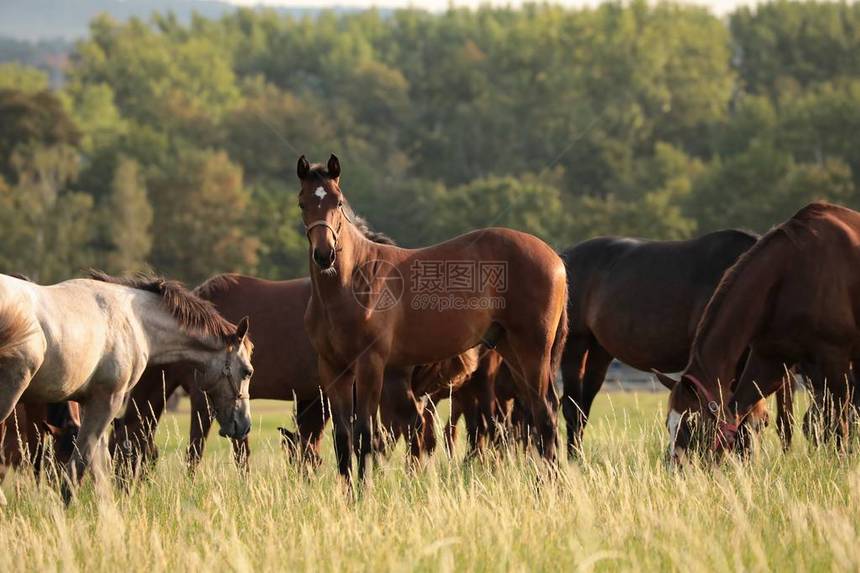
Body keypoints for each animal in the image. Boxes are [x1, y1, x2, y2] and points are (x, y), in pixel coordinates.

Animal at [0, 272, 254, 500]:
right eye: (247, 371)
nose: (244, 425)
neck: (135, 320)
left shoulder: (88, 404)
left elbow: (97, 468)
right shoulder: (107, 401)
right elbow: (77, 466)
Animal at [298, 154, 572, 480]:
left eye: (338, 202)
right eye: (302, 203)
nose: (324, 255)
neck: (355, 279)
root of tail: (554, 259)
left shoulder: (371, 365)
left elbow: (365, 433)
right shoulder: (333, 368)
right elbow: (343, 437)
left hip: (532, 350)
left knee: (544, 414)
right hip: (512, 350)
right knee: (538, 412)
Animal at [556, 230, 792, 454]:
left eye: (764, 424)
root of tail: (563, 257)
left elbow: (782, 418)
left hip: (599, 350)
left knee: (583, 407)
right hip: (576, 343)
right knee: (572, 408)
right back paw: (574, 459)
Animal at [660, 202, 860, 460]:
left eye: (692, 423)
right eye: (668, 423)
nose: (676, 465)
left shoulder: (835, 360)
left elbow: (840, 422)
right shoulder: (770, 359)